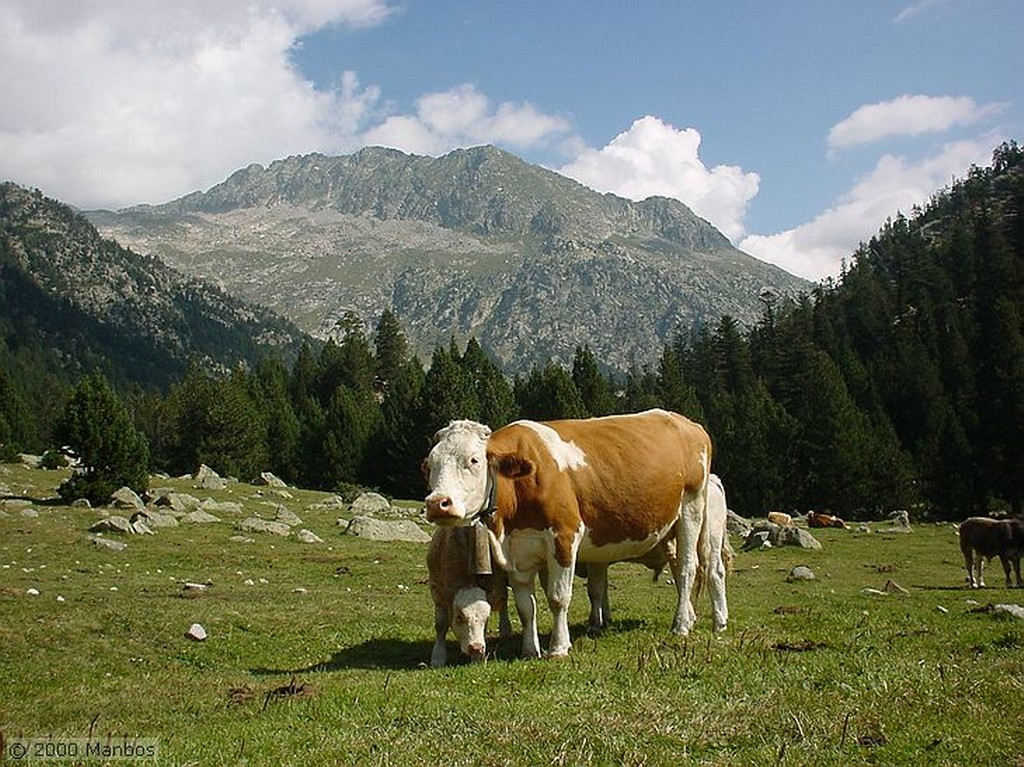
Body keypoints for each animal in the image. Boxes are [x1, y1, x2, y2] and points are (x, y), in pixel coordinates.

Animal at [423, 520, 512, 663]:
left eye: (486, 617)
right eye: (459, 618)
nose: (476, 647)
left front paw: (478, 658)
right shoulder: (437, 592)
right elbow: (440, 624)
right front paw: (438, 657)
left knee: (503, 598)